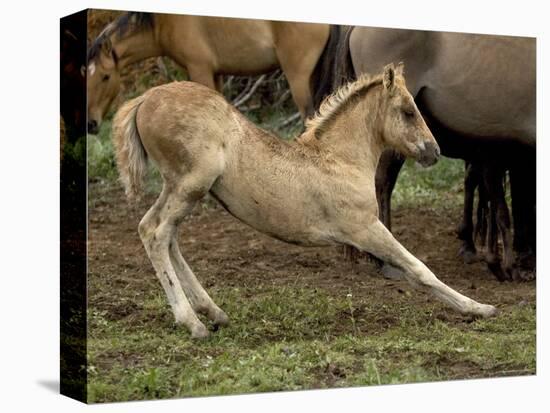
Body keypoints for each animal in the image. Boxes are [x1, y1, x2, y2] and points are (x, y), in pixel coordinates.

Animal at [85, 12, 328, 132]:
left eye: (105, 77)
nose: (91, 124)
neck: (163, 21)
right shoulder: (216, 74)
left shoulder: (199, 70)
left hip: (298, 79)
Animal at [112, 62, 500, 336]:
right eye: (407, 110)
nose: (433, 151)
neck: (340, 159)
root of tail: (146, 98)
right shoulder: (365, 228)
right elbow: (419, 269)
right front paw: (479, 308)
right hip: (190, 184)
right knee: (157, 234)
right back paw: (192, 322)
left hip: (180, 188)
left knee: (160, 232)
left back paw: (214, 312)